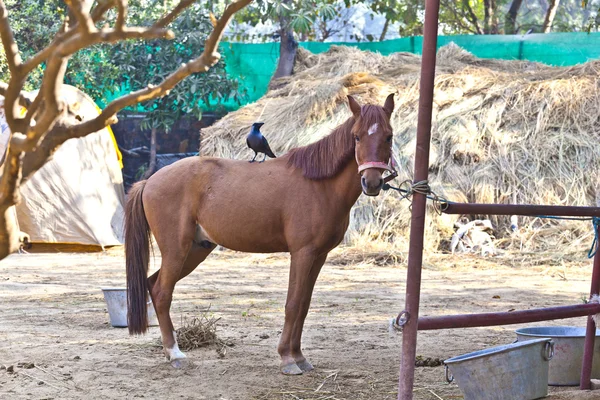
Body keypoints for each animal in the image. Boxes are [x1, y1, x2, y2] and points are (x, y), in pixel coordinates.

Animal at [125, 94, 396, 376]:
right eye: (356, 137)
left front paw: (299, 357)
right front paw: (287, 359)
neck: (319, 184)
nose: (372, 182)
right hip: (176, 250)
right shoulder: (302, 253)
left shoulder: (319, 256)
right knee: (162, 293)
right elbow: (293, 304)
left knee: (153, 284)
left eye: (389, 136)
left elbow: (304, 306)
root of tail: (149, 181)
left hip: (195, 250)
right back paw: (175, 354)